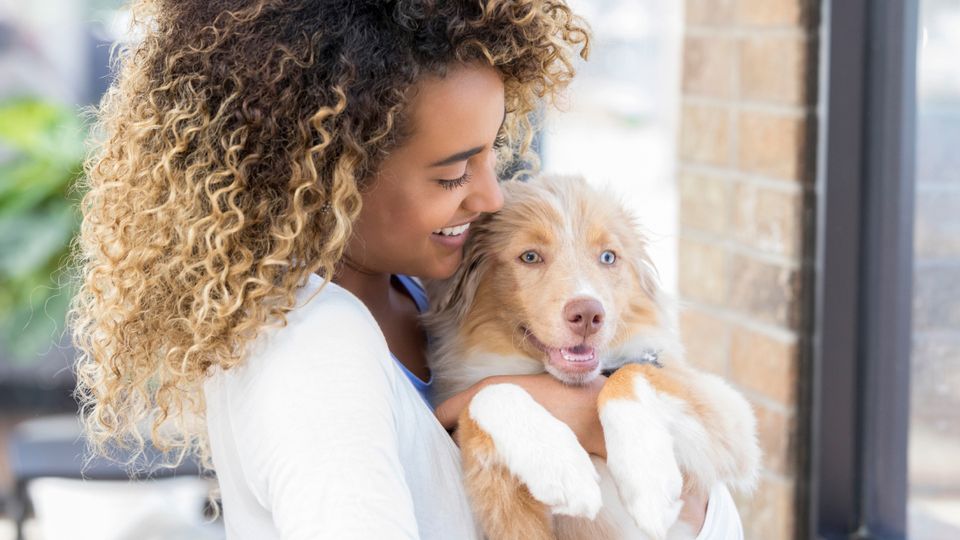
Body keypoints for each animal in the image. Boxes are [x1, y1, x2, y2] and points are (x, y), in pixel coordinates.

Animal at [424, 175, 760, 536]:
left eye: (608, 257)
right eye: (530, 256)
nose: (588, 315)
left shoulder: (729, 413)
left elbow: (628, 374)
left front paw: (648, 484)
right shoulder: (507, 512)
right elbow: (485, 393)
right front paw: (562, 468)